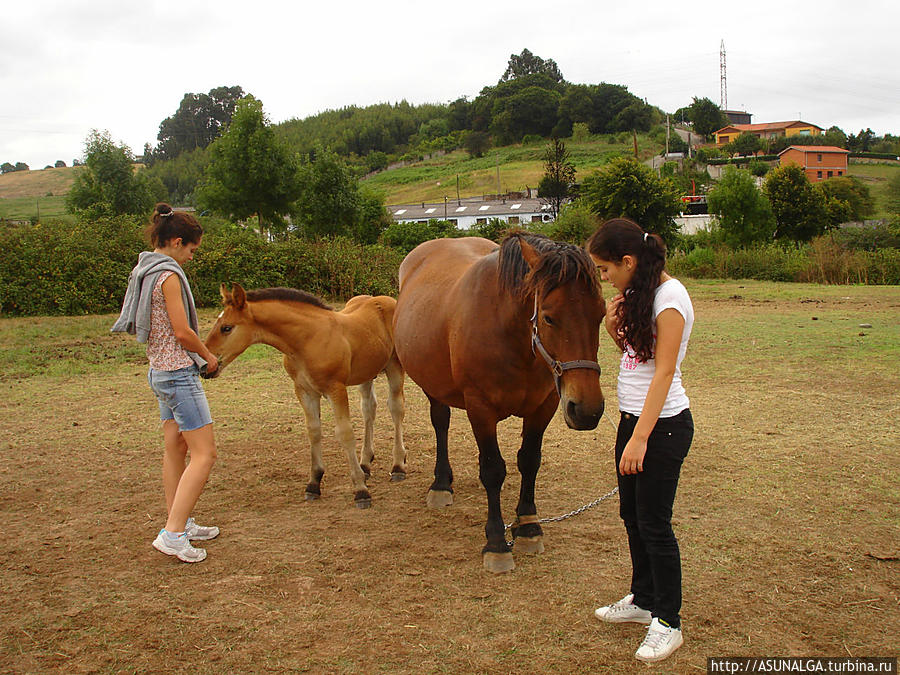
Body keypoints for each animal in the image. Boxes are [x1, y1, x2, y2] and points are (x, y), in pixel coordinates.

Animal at [206, 282, 406, 510]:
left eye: (226, 328)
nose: (205, 367)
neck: (308, 340)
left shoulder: (335, 389)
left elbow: (345, 433)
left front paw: (360, 490)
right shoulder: (304, 390)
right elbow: (314, 431)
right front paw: (314, 483)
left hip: (394, 366)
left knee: (396, 408)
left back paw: (398, 466)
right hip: (366, 373)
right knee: (369, 409)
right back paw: (365, 464)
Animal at [392, 232, 604, 572]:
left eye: (601, 313)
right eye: (548, 317)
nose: (587, 410)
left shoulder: (544, 406)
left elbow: (529, 461)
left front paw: (528, 527)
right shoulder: (481, 409)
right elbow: (493, 469)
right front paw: (496, 543)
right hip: (433, 386)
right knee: (441, 423)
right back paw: (441, 484)